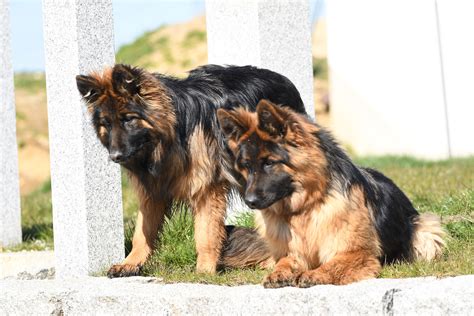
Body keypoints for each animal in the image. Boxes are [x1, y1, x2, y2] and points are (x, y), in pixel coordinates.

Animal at [74, 63, 304, 276]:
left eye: (128, 119)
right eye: (106, 123)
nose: (115, 156)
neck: (169, 137)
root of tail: (284, 80)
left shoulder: (207, 190)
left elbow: (205, 234)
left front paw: (204, 271)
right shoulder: (152, 191)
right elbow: (142, 232)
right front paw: (130, 263)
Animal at [217, 100, 446, 288]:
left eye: (269, 163)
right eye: (247, 166)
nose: (249, 201)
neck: (305, 208)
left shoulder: (356, 254)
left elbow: (333, 265)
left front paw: (314, 274)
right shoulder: (293, 252)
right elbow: (284, 261)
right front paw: (279, 272)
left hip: (426, 233)